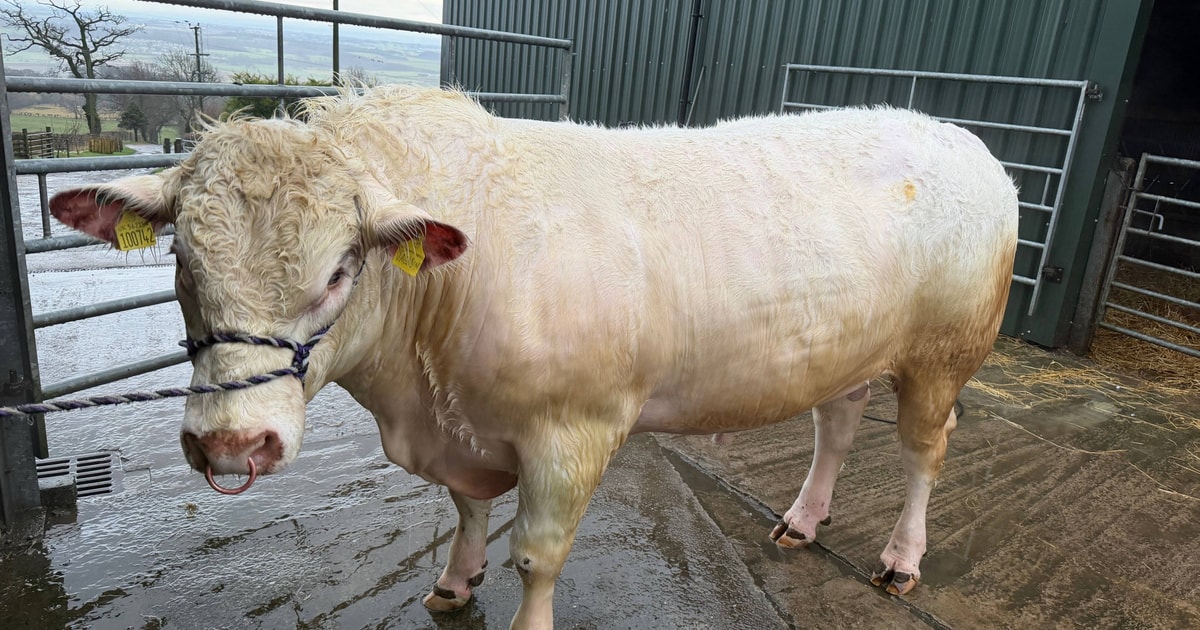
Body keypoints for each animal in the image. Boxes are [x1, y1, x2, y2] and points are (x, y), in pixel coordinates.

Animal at [49, 85, 1018, 629]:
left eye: (337, 272)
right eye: (181, 260)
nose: (230, 445)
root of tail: (964, 138)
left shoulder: (572, 430)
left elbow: (537, 556)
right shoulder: (466, 433)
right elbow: (467, 511)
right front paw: (453, 580)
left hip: (944, 354)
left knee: (923, 452)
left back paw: (900, 558)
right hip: (848, 346)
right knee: (838, 422)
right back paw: (804, 518)